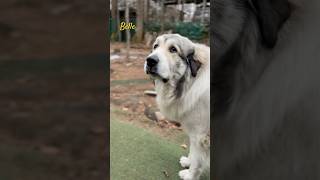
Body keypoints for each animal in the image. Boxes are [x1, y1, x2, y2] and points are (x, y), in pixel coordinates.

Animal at [144, 34, 210, 180]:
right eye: (155, 46)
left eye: (173, 49)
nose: (150, 60)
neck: (191, 81)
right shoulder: (194, 132)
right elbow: (193, 152)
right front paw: (188, 162)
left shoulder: (201, 135)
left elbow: (198, 161)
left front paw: (190, 175)